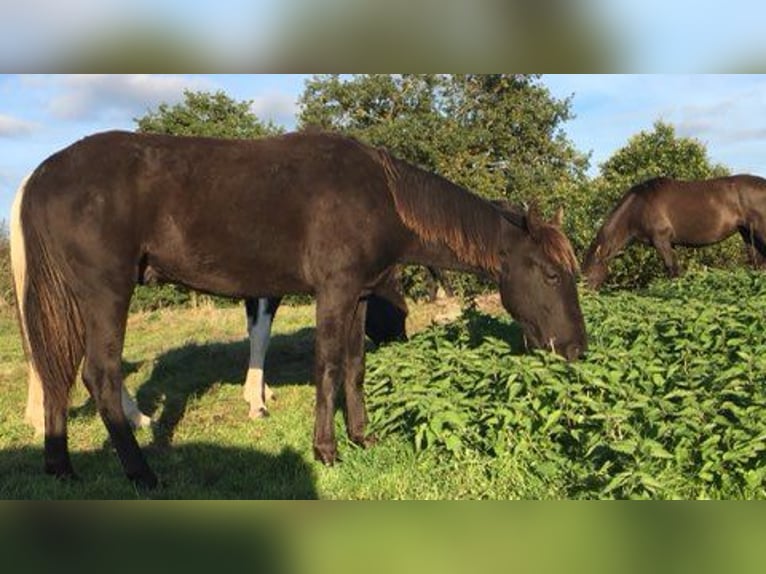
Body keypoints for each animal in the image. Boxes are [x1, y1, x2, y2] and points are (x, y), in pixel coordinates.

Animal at [10, 130, 586, 488]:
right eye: (551, 274)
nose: (576, 349)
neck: (381, 195)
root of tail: (39, 175)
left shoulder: (357, 296)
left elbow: (354, 368)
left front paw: (362, 437)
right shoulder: (333, 293)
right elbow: (327, 368)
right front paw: (326, 450)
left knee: (56, 371)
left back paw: (60, 467)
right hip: (105, 294)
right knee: (99, 376)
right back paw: (141, 473)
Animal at [582, 175, 766, 290]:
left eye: (588, 273)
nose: (586, 295)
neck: (638, 206)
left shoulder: (661, 241)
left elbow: (671, 269)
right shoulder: (671, 244)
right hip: (747, 234)